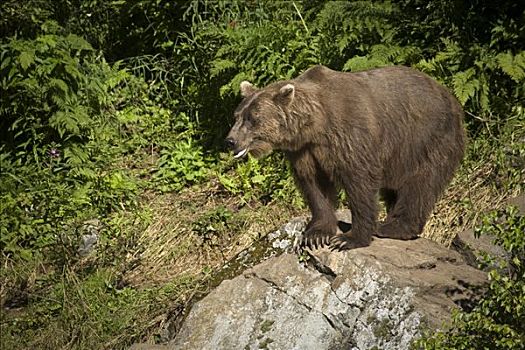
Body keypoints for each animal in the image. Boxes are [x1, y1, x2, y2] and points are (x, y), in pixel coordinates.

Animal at [224, 65, 462, 250]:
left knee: (420, 184)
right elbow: (314, 185)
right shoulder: (304, 151)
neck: (316, 125)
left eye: (252, 118)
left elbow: (360, 182)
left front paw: (349, 239)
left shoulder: (351, 136)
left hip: (427, 138)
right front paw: (316, 235)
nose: (230, 140)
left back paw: (392, 227)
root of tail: (450, 96)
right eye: (237, 116)